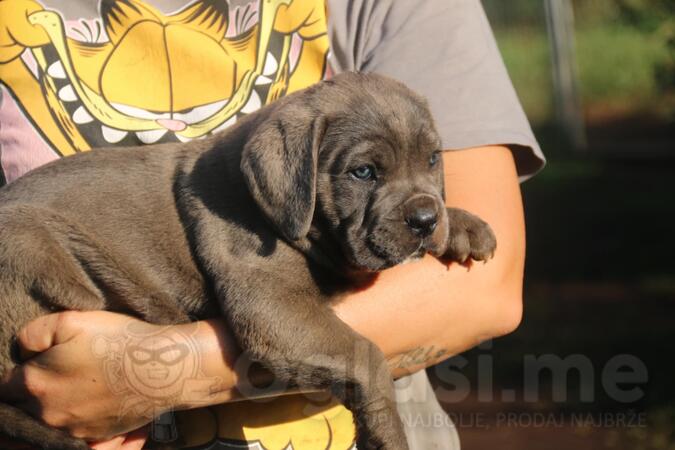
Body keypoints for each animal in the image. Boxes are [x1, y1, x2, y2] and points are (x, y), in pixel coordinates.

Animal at [0, 72, 496, 448]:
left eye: (432, 159)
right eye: (363, 173)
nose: (425, 219)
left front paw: (461, 224)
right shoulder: (272, 308)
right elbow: (368, 356)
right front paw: (386, 433)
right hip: (30, 238)